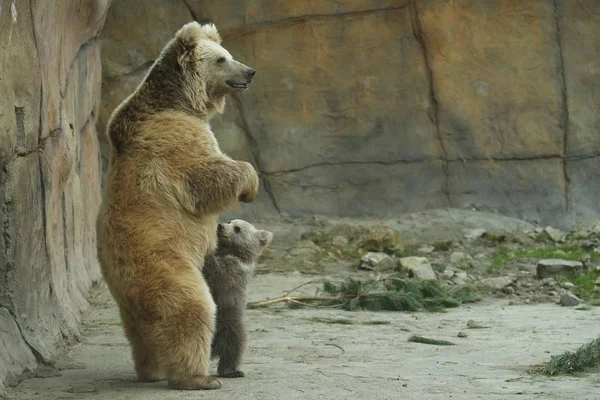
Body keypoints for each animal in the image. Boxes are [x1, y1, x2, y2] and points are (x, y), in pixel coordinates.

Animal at [95, 22, 258, 390]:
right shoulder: (175, 139)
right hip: (167, 268)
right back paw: (198, 377)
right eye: (223, 59)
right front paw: (250, 185)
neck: (180, 101)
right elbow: (206, 176)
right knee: (191, 312)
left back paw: (150, 370)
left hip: (128, 303)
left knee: (141, 336)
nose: (250, 71)